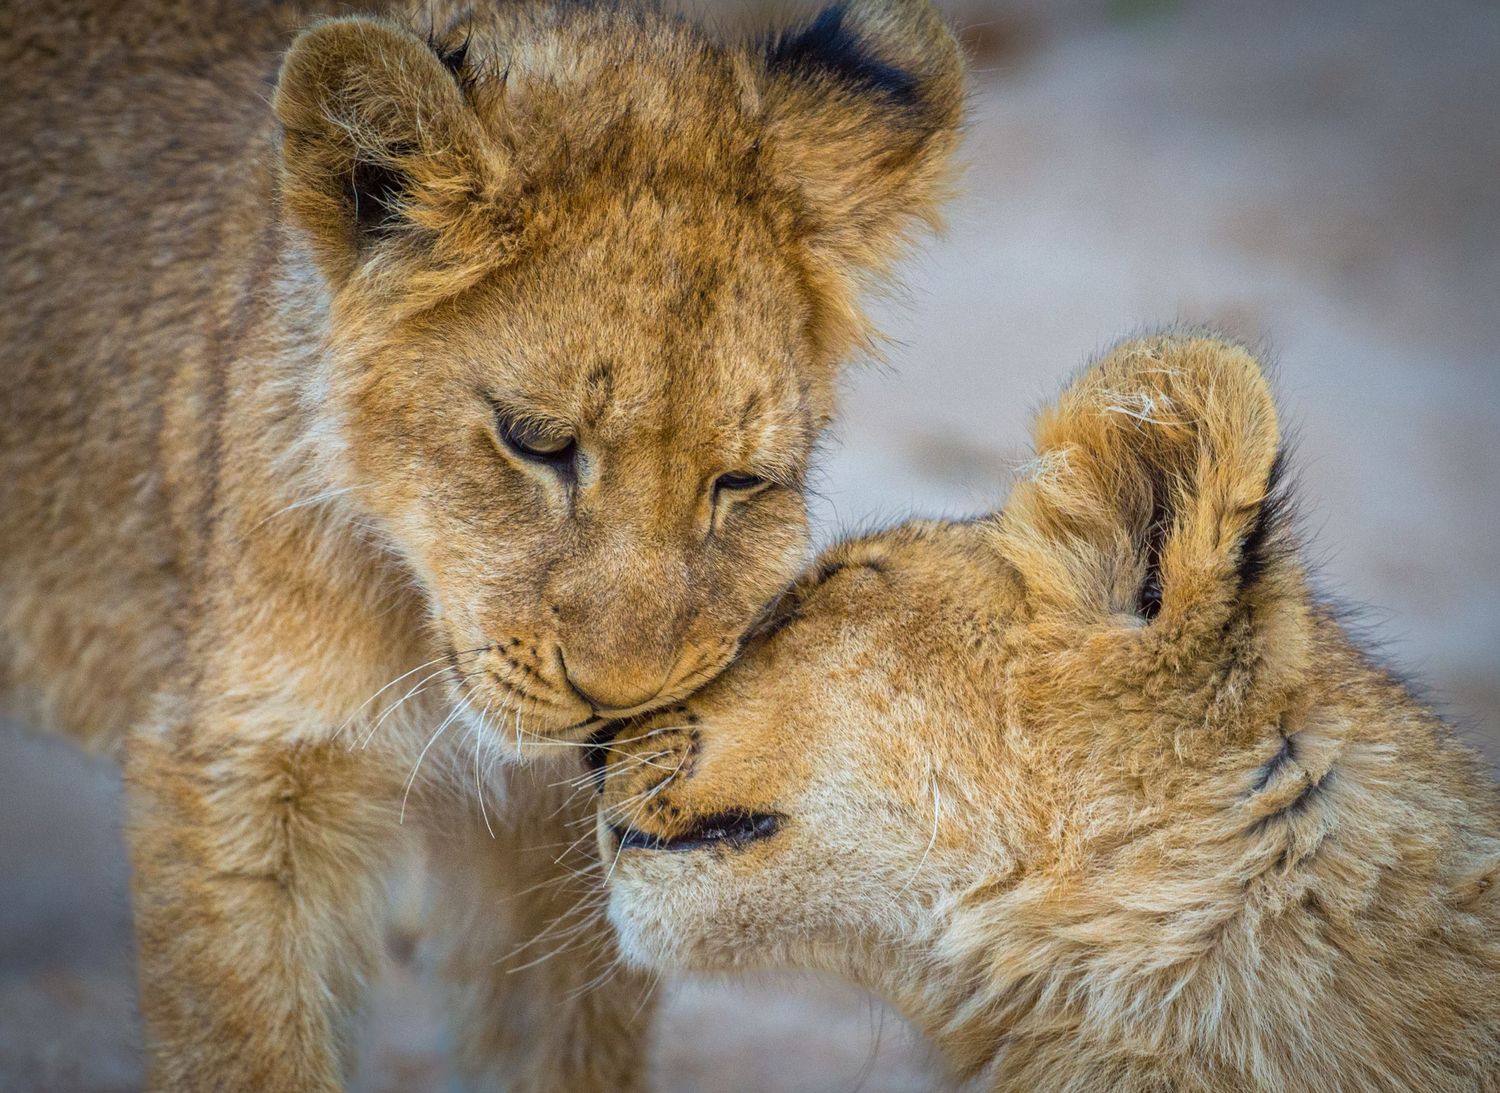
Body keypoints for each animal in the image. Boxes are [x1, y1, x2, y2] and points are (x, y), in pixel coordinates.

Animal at [0, 0, 963, 1087]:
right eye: (535, 443)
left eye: (740, 484)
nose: (619, 702)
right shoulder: (237, 772)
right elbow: (251, 1051)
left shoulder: (557, 838)